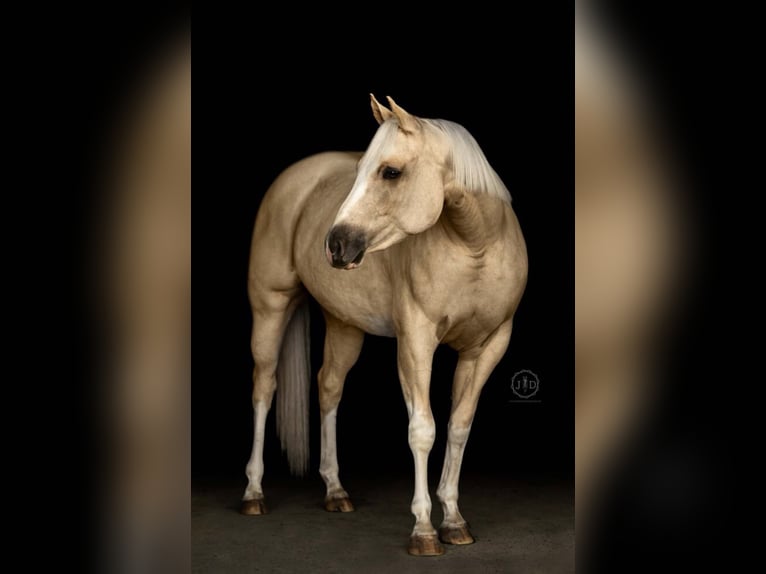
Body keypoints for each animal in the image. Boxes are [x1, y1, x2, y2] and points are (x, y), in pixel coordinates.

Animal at [240, 95, 528, 556]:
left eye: (390, 171)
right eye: (360, 169)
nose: (335, 244)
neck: (475, 246)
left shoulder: (488, 346)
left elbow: (459, 427)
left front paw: (454, 521)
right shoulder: (415, 342)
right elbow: (423, 430)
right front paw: (424, 530)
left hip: (344, 324)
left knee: (328, 387)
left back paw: (336, 491)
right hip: (270, 308)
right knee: (264, 388)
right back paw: (253, 493)